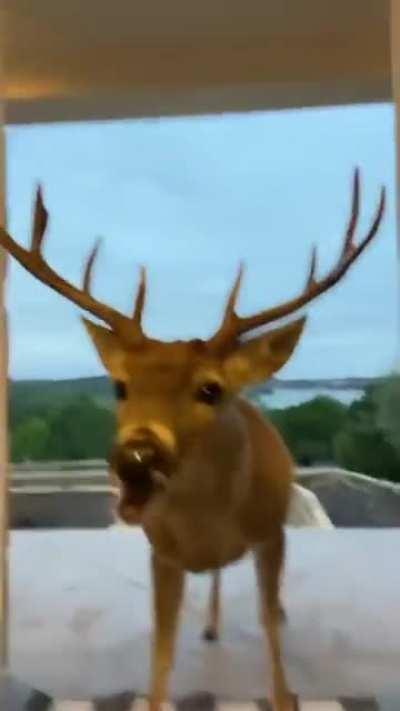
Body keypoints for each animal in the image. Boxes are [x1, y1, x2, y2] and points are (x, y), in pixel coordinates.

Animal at [0, 169, 385, 711]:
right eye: (120, 385)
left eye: (210, 389)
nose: (137, 456)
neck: (206, 529)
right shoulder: (161, 554)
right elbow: (160, 660)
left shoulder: (271, 534)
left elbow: (271, 641)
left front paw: (284, 688)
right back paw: (210, 624)